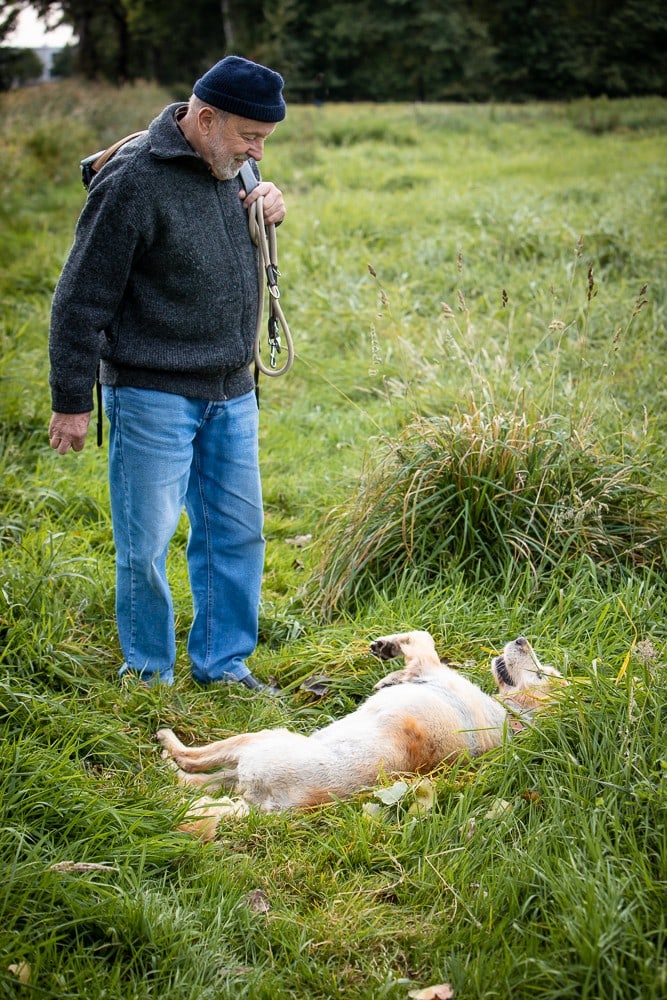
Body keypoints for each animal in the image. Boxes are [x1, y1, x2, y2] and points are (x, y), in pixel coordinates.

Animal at [158, 632, 568, 836]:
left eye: (542, 674)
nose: (522, 640)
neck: (511, 719)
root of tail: (278, 808)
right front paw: (388, 665)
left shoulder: (430, 667)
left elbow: (423, 638)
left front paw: (390, 651)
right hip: (238, 775)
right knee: (192, 783)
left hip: (258, 741)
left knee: (192, 761)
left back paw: (167, 744)